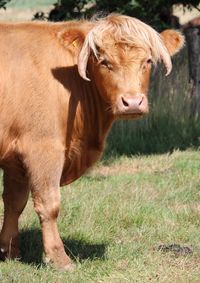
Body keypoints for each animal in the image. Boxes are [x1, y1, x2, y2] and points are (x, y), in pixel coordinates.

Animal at [0, 15, 184, 270]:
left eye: (147, 61)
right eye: (104, 62)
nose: (132, 102)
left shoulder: (14, 159)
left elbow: (14, 202)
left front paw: (9, 252)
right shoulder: (43, 149)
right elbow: (49, 203)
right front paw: (59, 258)